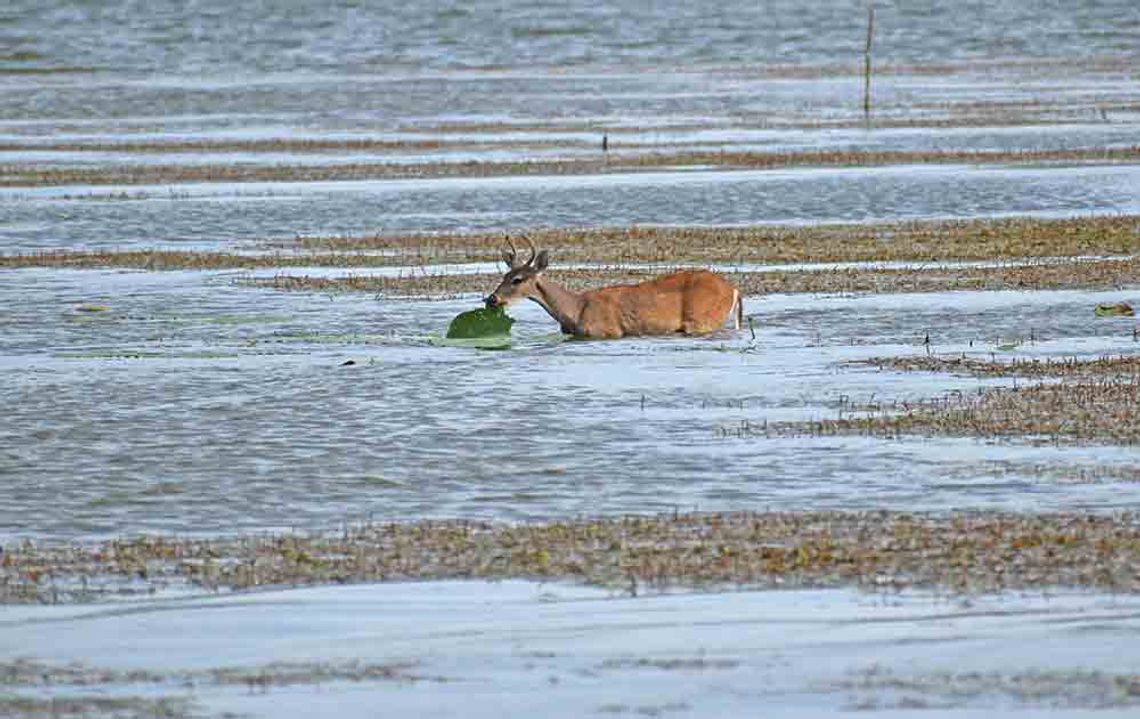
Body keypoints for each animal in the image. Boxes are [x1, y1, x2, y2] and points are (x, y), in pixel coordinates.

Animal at [483, 235, 743, 337]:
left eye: (518, 279)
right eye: (504, 275)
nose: (491, 299)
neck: (574, 311)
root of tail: (734, 290)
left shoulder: (607, 331)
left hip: (701, 319)